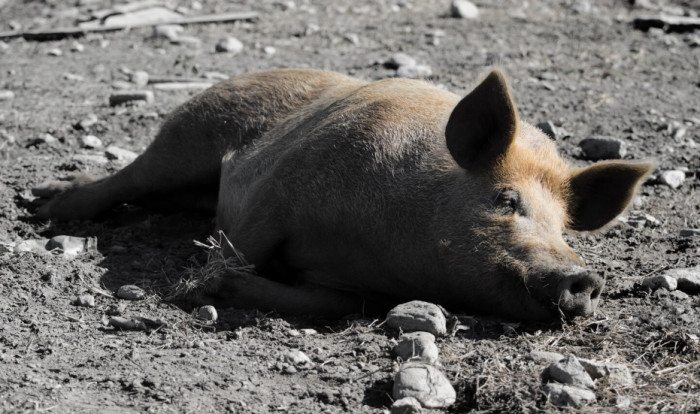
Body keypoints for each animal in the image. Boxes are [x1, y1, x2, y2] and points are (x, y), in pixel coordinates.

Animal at [32, 68, 652, 321]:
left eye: (564, 228)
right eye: (506, 200)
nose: (583, 277)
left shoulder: (355, 290)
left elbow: (329, 304)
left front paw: (222, 289)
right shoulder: (279, 188)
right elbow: (240, 245)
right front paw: (194, 291)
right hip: (186, 137)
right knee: (128, 179)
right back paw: (42, 205)